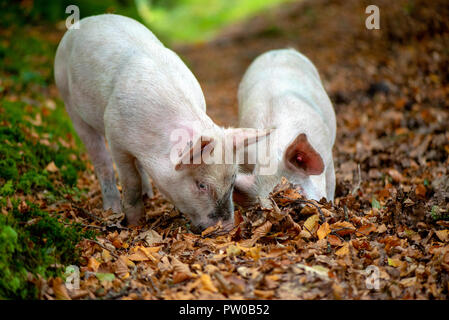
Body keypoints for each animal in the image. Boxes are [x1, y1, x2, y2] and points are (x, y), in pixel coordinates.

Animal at [55, 15, 266, 229]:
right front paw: (134, 223)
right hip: (68, 99)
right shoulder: (115, 137)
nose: (228, 226)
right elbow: (130, 181)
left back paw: (148, 195)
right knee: (101, 160)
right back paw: (112, 210)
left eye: (232, 180)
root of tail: (89, 19)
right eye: (201, 185)